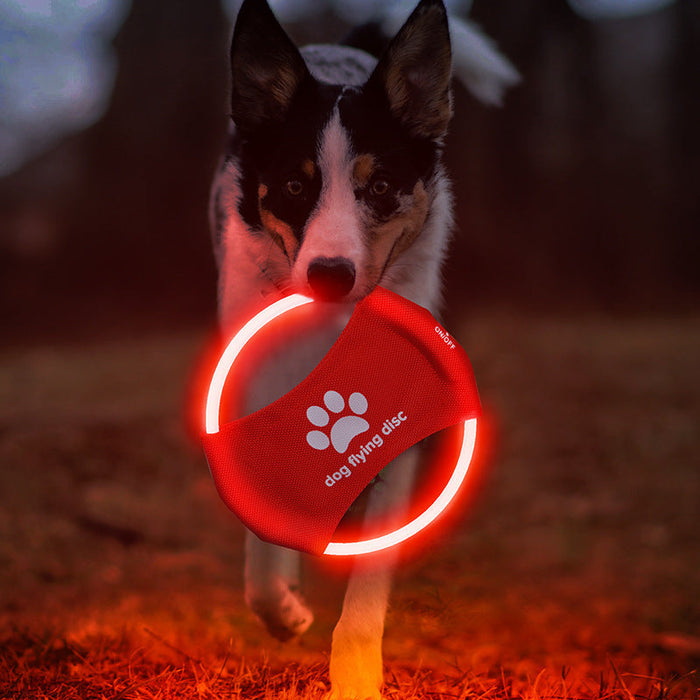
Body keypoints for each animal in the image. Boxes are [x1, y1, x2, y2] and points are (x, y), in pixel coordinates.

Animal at [208, 2, 520, 696]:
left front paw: (354, 671)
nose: (330, 274)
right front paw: (282, 608)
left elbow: (370, 578)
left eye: (379, 189)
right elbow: (259, 538)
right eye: (295, 188)